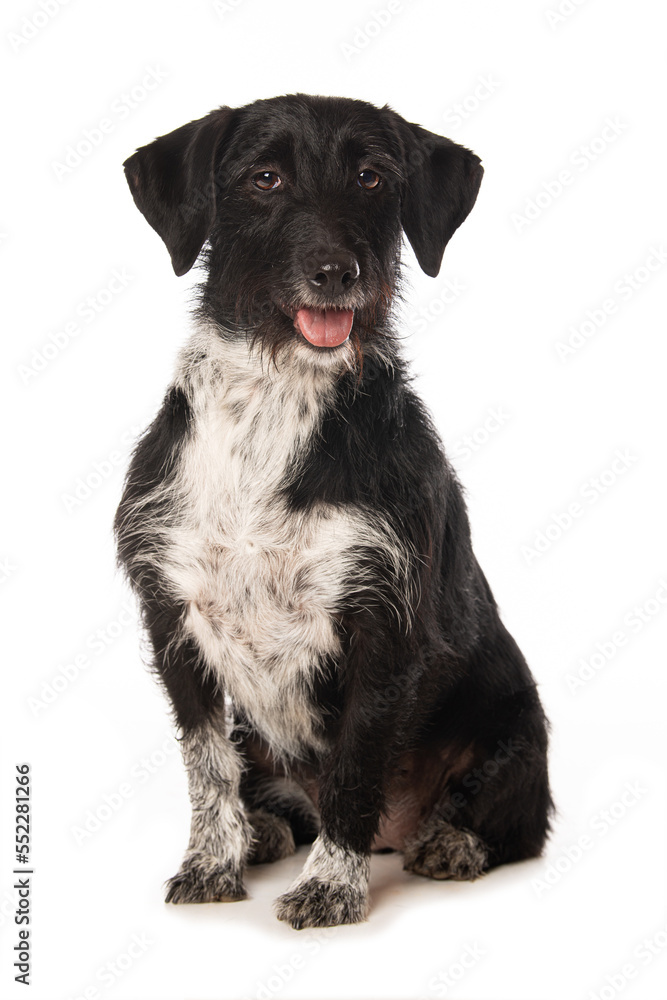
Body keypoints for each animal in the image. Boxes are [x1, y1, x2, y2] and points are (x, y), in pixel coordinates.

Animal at [115, 95, 552, 928]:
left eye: (371, 177)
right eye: (264, 177)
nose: (337, 274)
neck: (275, 403)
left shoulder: (382, 626)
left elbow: (354, 767)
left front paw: (331, 886)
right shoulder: (172, 618)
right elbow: (206, 764)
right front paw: (211, 864)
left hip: (516, 729)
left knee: (516, 822)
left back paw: (450, 841)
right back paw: (264, 829)